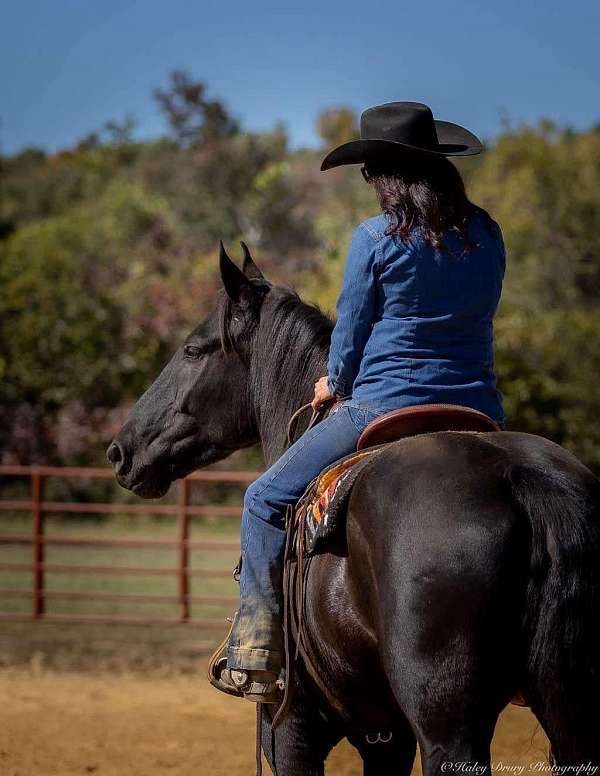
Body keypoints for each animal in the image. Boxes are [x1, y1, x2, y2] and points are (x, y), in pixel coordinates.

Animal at [109, 244, 600, 776]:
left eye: (193, 350)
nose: (119, 451)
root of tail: (525, 480)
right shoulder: (385, 737)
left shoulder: (288, 730)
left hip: (447, 725)